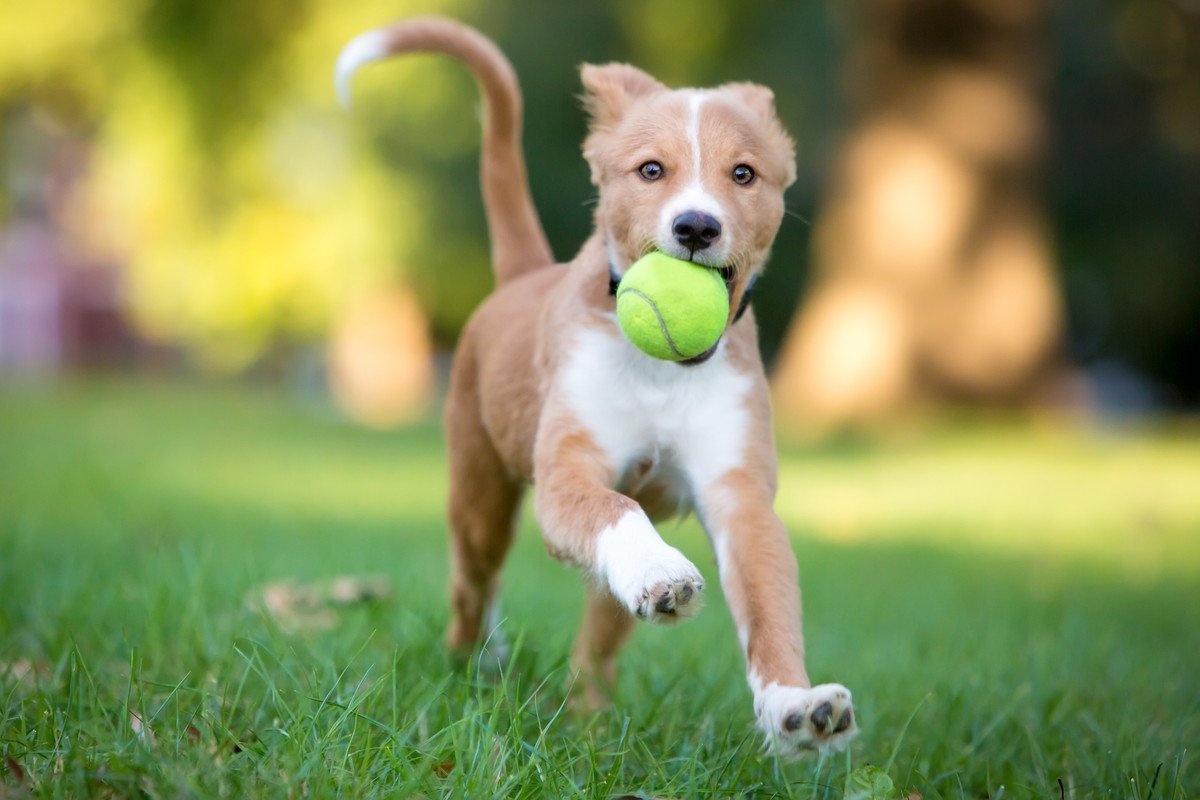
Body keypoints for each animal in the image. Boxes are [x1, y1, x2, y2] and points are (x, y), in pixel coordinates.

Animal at [338, 17, 859, 758]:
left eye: (744, 174)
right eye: (650, 170)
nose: (696, 226)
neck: (665, 371)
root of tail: (523, 275)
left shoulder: (740, 497)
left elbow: (769, 607)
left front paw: (797, 707)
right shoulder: (568, 473)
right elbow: (617, 510)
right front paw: (661, 572)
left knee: (598, 637)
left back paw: (590, 721)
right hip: (477, 496)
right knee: (472, 588)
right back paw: (480, 666)